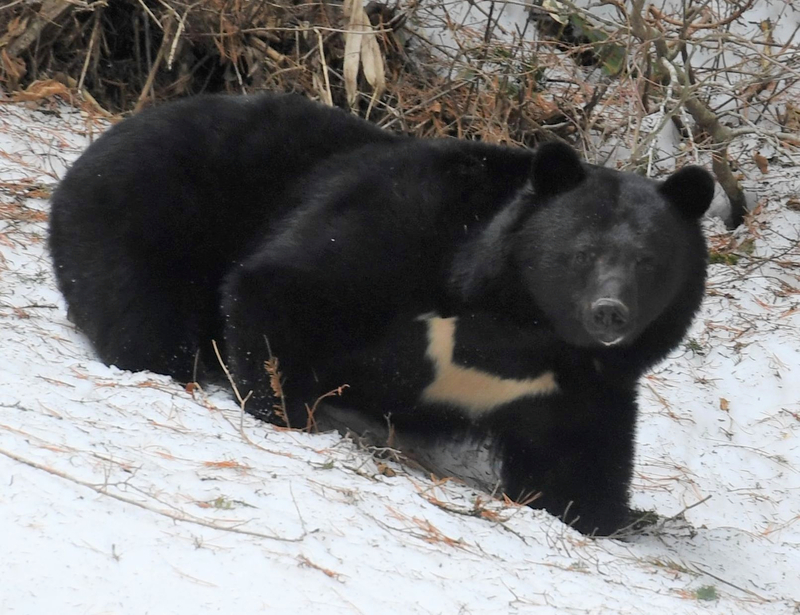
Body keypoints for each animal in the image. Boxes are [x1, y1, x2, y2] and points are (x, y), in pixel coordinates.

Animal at [49, 92, 714, 535]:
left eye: (649, 262)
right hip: (147, 216)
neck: (521, 326)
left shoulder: (574, 383)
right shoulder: (403, 229)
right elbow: (288, 285)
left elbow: (580, 452)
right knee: (143, 316)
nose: (609, 314)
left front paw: (598, 514)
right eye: (580, 254)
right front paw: (282, 408)